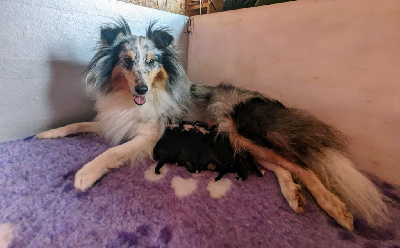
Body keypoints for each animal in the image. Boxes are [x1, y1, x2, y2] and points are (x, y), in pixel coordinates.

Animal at [36, 17, 388, 231]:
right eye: (126, 61)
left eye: (152, 62)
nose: (142, 90)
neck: (128, 100)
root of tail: (269, 103)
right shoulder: (114, 121)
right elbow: (76, 124)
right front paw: (47, 133)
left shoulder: (148, 136)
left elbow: (110, 154)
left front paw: (84, 175)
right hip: (238, 142)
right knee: (282, 167)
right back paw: (292, 195)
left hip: (240, 131)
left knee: (305, 168)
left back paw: (336, 209)